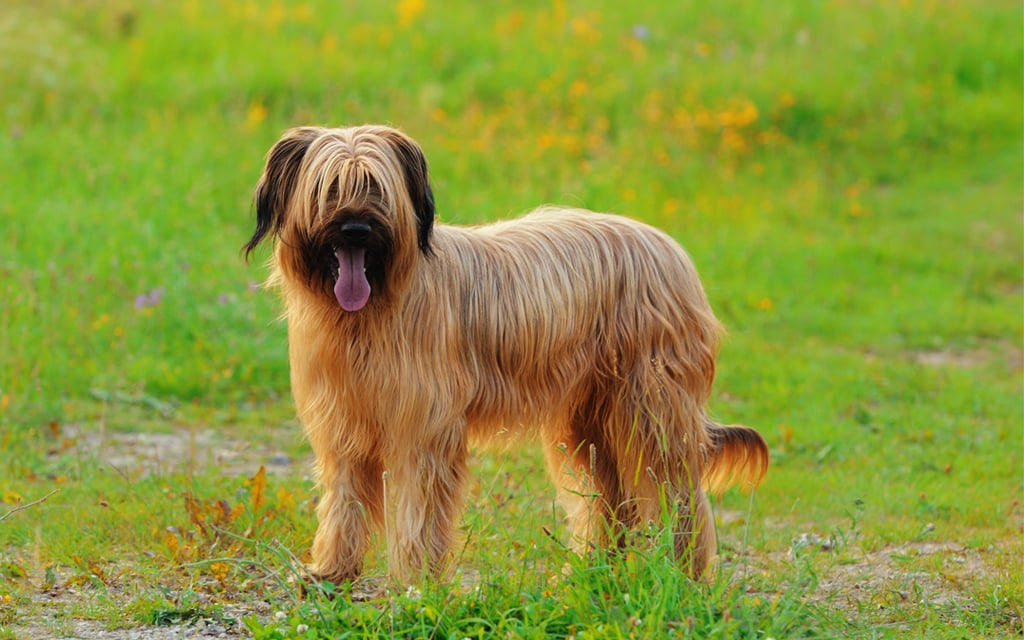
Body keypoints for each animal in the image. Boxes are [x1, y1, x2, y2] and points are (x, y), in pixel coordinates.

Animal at [241, 124, 770, 585]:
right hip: (588, 420)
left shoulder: (424, 430)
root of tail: (671, 250)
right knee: (611, 497)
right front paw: (331, 573)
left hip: (651, 407)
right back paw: (597, 571)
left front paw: (415, 581)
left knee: (677, 493)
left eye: (375, 189)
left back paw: (682, 574)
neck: (367, 315)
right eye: (328, 189)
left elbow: (418, 508)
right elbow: (343, 502)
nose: (354, 229)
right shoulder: (344, 424)